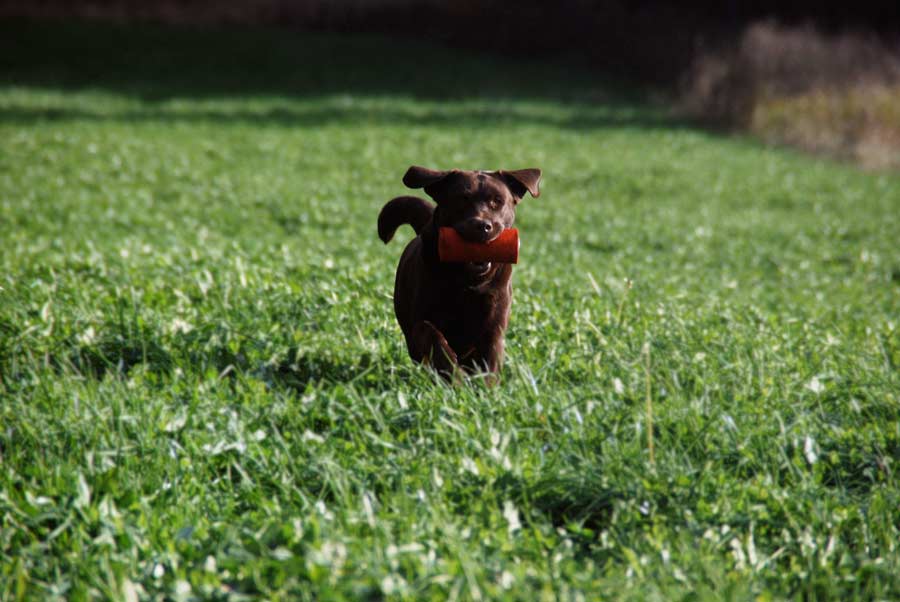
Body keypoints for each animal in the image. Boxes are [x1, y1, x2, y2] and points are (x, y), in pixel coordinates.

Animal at [378, 164, 540, 380]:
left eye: (497, 201)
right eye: (461, 199)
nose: (482, 226)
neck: (467, 282)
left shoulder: (493, 323)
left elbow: (489, 358)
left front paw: (482, 386)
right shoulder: (421, 318)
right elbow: (430, 335)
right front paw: (456, 377)